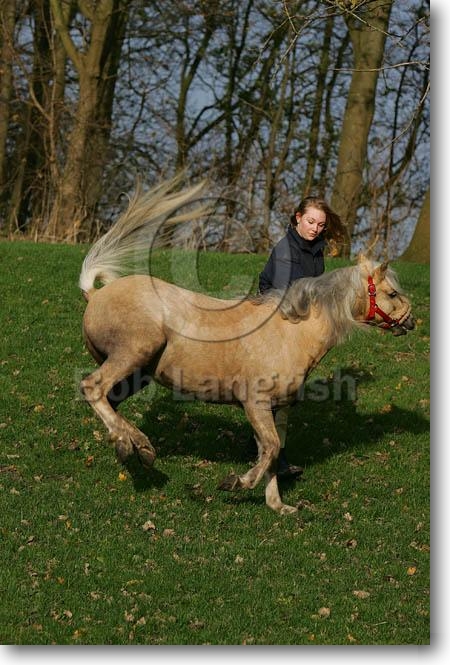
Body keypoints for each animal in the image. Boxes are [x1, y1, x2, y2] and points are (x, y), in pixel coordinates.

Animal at [78, 178, 415, 514]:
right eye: (392, 293)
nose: (411, 322)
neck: (291, 333)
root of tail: (95, 295)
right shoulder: (255, 401)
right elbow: (271, 448)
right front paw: (237, 483)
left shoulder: (274, 407)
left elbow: (272, 451)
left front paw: (279, 506)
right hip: (133, 354)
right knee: (92, 387)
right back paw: (131, 444)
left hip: (139, 374)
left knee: (111, 401)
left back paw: (137, 448)